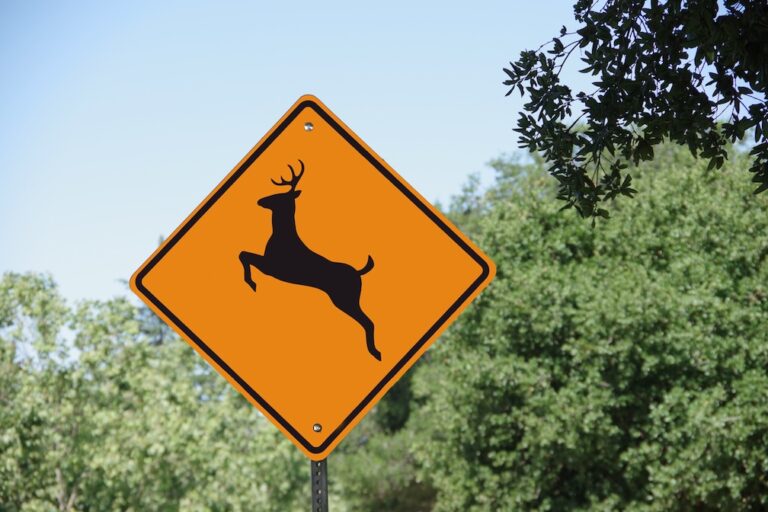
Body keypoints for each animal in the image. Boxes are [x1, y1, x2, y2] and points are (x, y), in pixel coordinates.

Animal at [238, 160, 381, 361]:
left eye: (279, 196)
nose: (260, 200)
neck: (281, 236)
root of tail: (358, 272)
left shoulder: (272, 267)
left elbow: (244, 254)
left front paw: (252, 283)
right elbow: (243, 254)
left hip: (346, 298)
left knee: (368, 321)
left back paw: (375, 353)